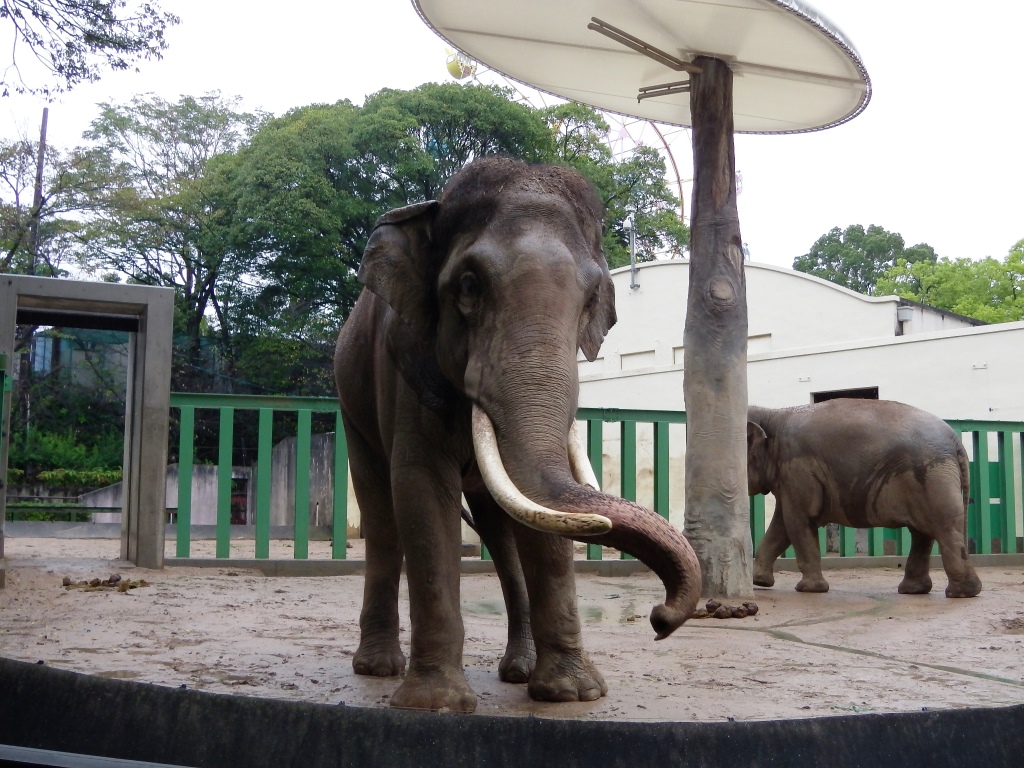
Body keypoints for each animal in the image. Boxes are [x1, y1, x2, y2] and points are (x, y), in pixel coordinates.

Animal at [333, 157, 701, 713]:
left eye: (591, 298)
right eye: (468, 285)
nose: (660, 621)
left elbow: (547, 515)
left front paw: (571, 694)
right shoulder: (405, 368)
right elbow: (420, 489)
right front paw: (436, 704)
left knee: (501, 534)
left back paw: (518, 671)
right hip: (351, 405)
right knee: (381, 516)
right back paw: (377, 668)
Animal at [746, 399, 982, 598]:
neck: (773, 414)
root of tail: (955, 441)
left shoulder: (798, 468)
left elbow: (797, 520)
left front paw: (808, 589)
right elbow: (782, 525)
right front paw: (759, 581)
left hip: (933, 477)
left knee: (944, 528)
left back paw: (960, 593)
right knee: (923, 533)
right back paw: (915, 590)